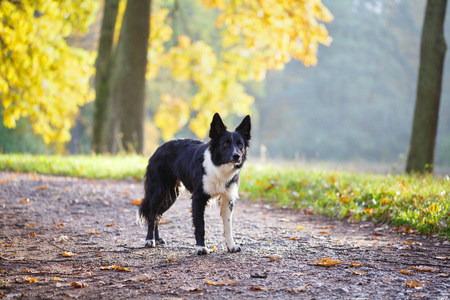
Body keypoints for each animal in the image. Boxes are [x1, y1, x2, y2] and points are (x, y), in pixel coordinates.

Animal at [137, 113, 250, 254]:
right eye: (225, 144)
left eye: (240, 145)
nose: (236, 156)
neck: (218, 167)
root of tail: (158, 149)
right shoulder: (198, 198)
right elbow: (200, 225)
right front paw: (201, 248)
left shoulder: (227, 198)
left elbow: (228, 225)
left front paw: (231, 246)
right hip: (159, 192)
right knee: (152, 214)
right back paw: (149, 240)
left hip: (171, 195)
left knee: (158, 215)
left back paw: (157, 239)